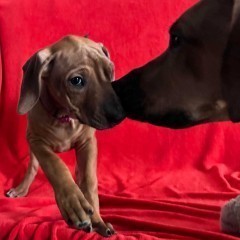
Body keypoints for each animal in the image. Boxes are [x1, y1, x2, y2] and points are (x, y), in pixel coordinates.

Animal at [6, 34, 124, 237]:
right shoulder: (36, 141)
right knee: (33, 166)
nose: (118, 116)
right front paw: (73, 203)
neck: (64, 117)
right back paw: (21, 189)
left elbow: (89, 181)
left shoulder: (87, 143)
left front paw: (98, 221)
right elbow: (56, 165)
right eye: (76, 81)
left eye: (110, 72)